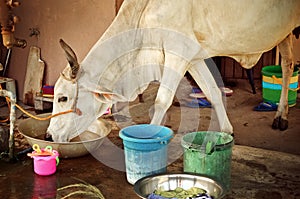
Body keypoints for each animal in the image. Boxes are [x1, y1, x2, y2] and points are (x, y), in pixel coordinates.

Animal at [45, 0, 298, 143]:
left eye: (63, 98)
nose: (48, 136)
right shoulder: (193, 57)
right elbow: (213, 92)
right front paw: (227, 131)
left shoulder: (177, 54)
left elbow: (162, 101)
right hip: (284, 34)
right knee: (288, 64)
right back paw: (281, 114)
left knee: (287, 66)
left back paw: (281, 115)